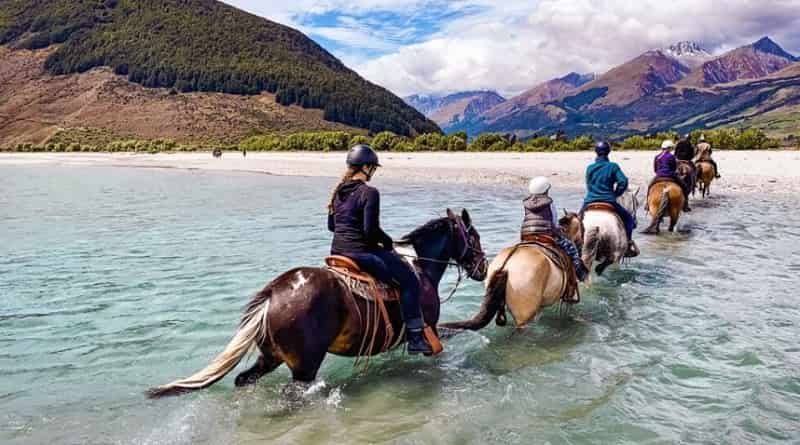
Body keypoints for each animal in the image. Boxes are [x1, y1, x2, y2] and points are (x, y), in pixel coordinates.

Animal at [148, 208, 488, 396]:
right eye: (474, 237)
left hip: (271, 357)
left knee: (244, 380)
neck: (421, 269)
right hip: (305, 367)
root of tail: (272, 295)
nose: (483, 268)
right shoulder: (430, 329)